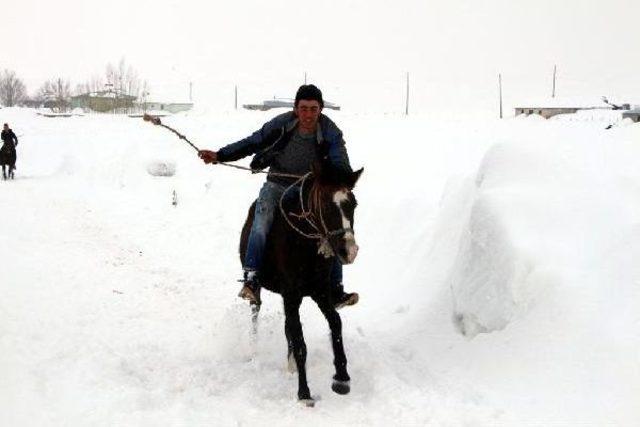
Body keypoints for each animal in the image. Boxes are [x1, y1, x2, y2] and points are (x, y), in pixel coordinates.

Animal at [240, 163, 362, 404]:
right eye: (326, 205)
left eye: (353, 204)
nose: (349, 251)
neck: (304, 245)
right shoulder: (292, 295)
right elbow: (300, 342)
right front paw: (304, 393)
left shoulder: (320, 292)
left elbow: (335, 324)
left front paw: (341, 378)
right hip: (262, 289)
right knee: (256, 311)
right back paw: (254, 351)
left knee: (288, 326)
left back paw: (291, 366)